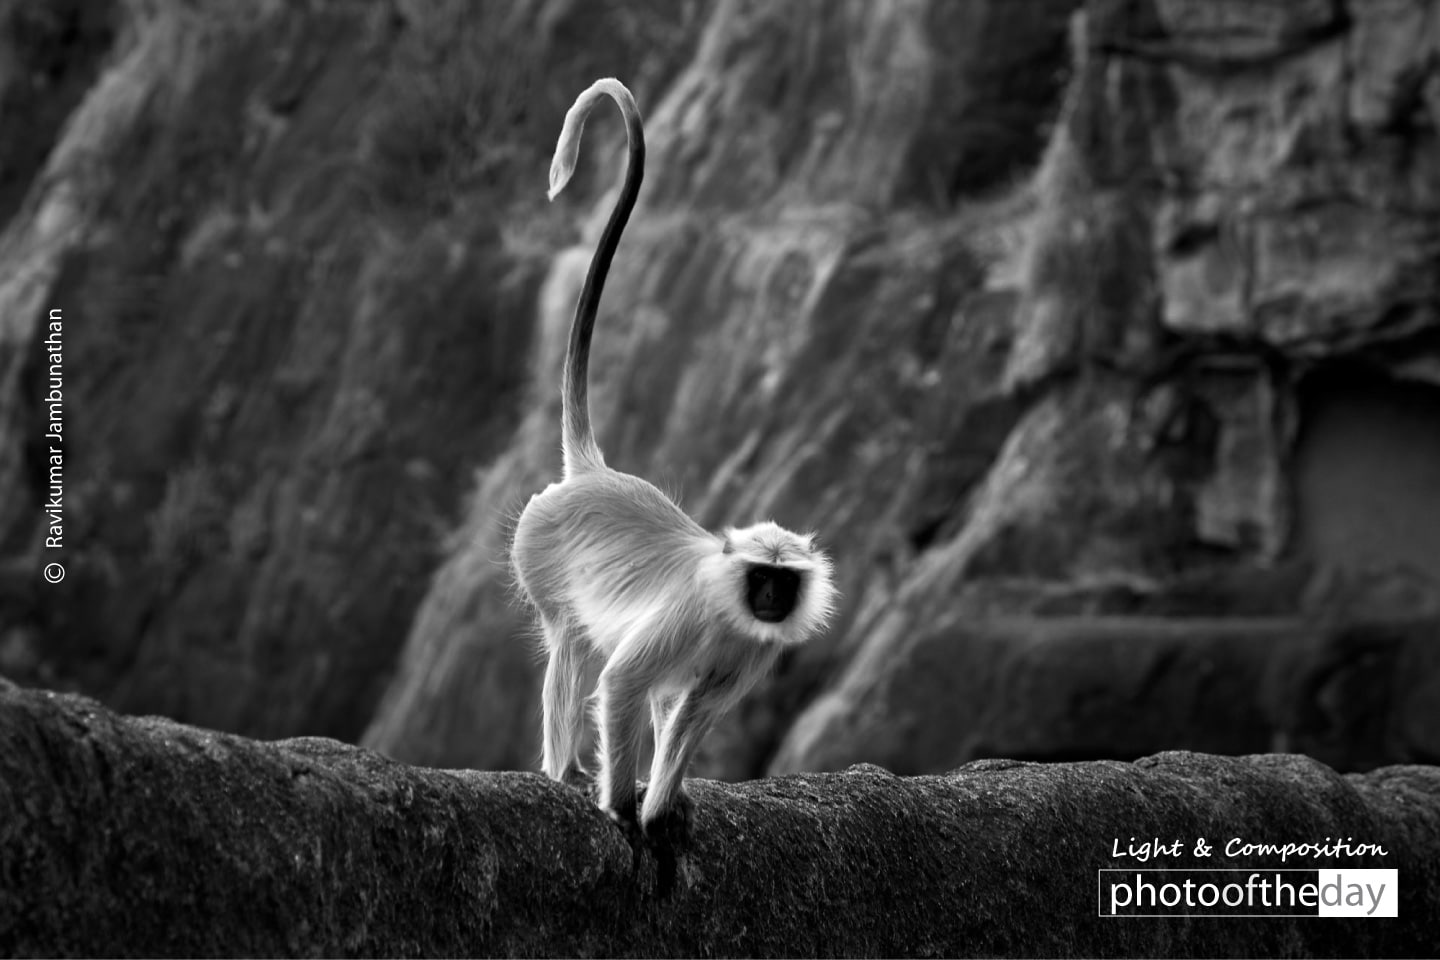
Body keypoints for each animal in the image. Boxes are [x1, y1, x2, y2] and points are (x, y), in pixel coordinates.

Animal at [512, 80, 840, 840]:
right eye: (760, 576)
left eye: (783, 580)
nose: (772, 599)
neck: (728, 601)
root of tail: (594, 473)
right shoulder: (692, 614)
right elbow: (621, 683)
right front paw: (623, 810)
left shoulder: (752, 648)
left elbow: (693, 712)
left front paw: (663, 807)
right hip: (536, 548)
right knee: (572, 644)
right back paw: (563, 774)